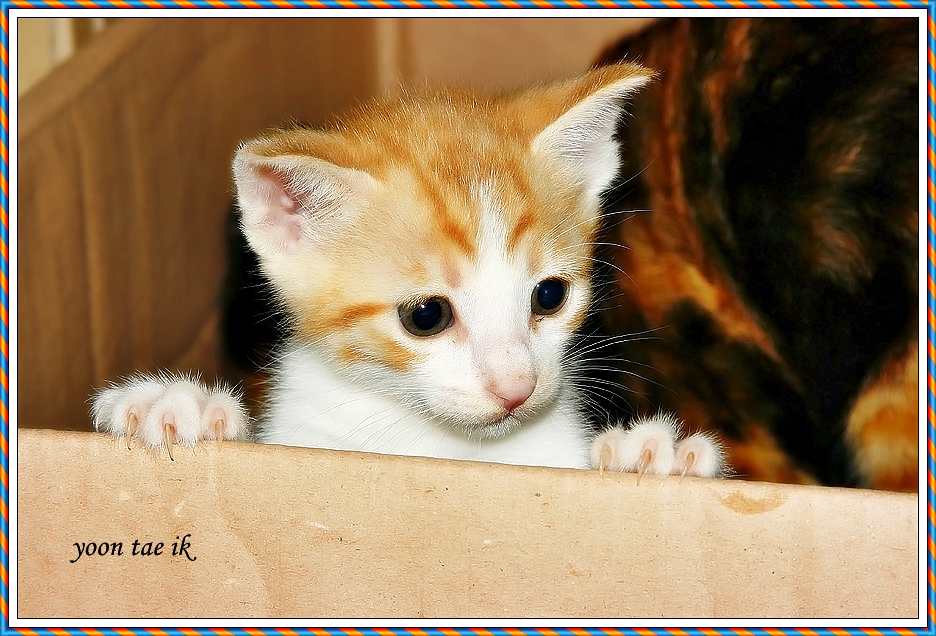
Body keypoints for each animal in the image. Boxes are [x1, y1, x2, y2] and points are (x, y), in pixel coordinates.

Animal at [91, 62, 725, 479]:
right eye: (426, 316)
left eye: (549, 295)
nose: (516, 389)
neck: (446, 447)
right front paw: (182, 407)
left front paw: (653, 455)